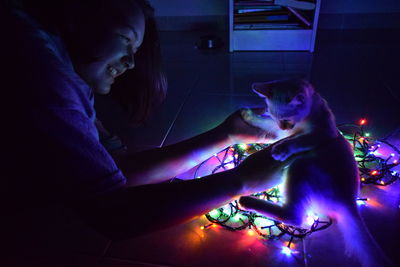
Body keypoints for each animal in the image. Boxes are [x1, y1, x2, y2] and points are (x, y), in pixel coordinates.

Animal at [239, 78, 390, 266]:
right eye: (276, 117)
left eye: (286, 119)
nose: (284, 128)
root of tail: (349, 202)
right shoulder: (277, 128)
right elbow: (265, 123)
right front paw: (248, 115)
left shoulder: (322, 133)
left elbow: (298, 140)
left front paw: (281, 150)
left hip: (301, 166)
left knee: (296, 216)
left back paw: (246, 201)